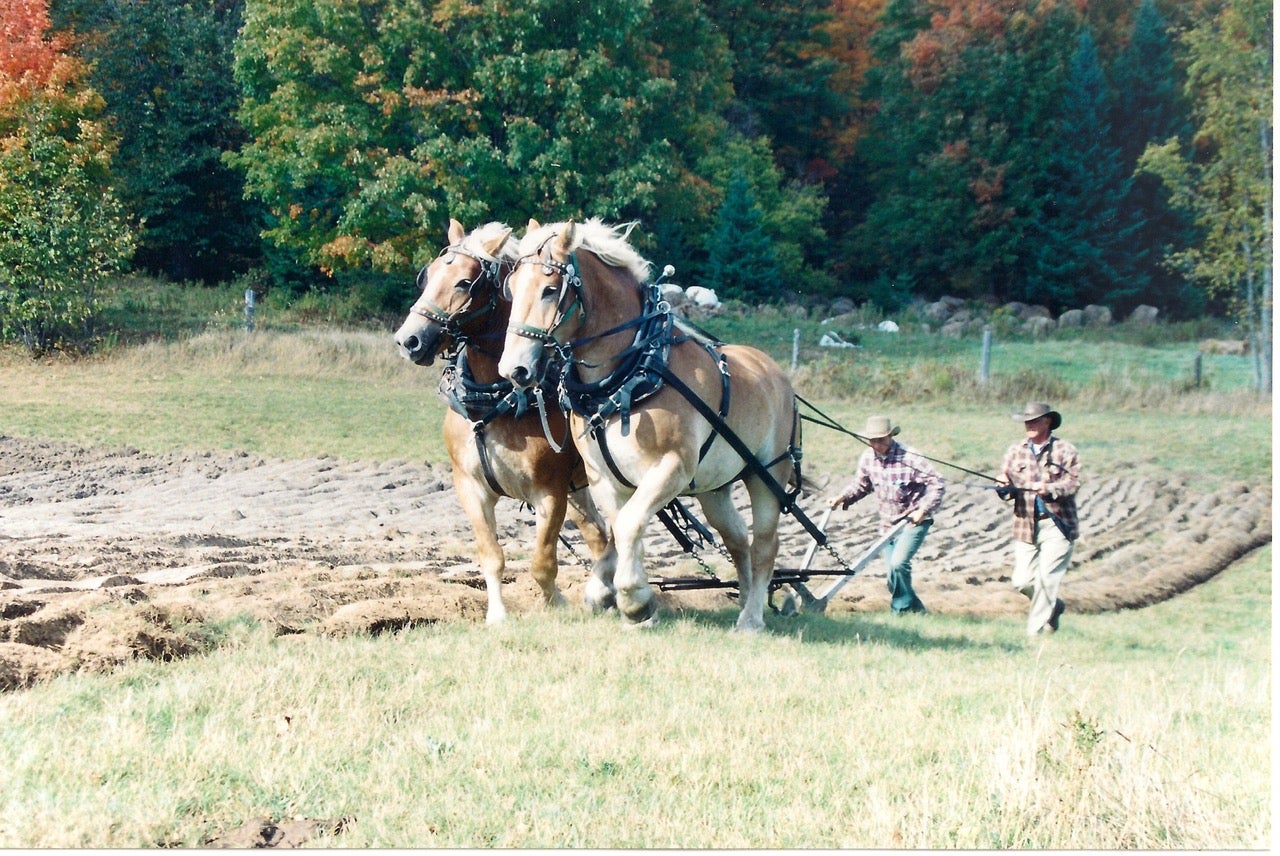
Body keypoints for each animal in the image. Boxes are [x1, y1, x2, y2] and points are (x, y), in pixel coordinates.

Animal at [391, 218, 611, 621]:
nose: (409, 340)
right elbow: (491, 556)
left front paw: (555, 605)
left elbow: (543, 563)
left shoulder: (550, 492)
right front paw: (497, 615)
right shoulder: (470, 486)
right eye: (427, 275)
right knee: (599, 536)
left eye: (465, 283)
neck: (496, 401)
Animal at [496, 217, 798, 632]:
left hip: (767, 473)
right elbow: (621, 530)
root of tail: (776, 373)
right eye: (511, 289)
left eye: (550, 289)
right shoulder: (604, 478)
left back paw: (751, 618)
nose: (514, 369)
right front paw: (610, 593)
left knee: (765, 543)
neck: (633, 372)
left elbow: (628, 526)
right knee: (738, 541)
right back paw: (744, 598)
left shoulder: (671, 467)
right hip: (714, 487)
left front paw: (634, 600)